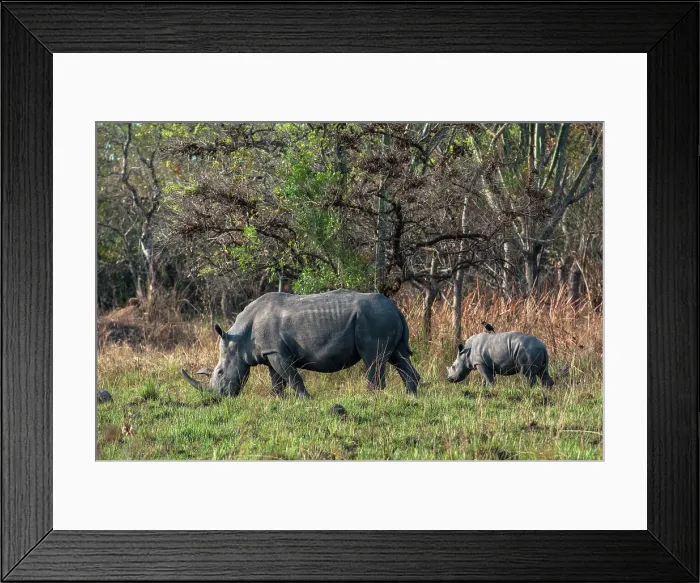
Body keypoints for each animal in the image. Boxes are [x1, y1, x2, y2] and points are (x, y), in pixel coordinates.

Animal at [181, 289, 420, 398]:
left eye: (220, 372)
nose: (217, 397)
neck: (239, 339)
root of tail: (396, 308)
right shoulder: (270, 353)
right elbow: (277, 379)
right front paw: (275, 399)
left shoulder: (277, 352)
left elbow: (291, 376)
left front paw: (305, 399)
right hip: (384, 317)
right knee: (398, 356)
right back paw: (409, 396)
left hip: (374, 319)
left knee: (373, 359)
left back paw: (370, 396)